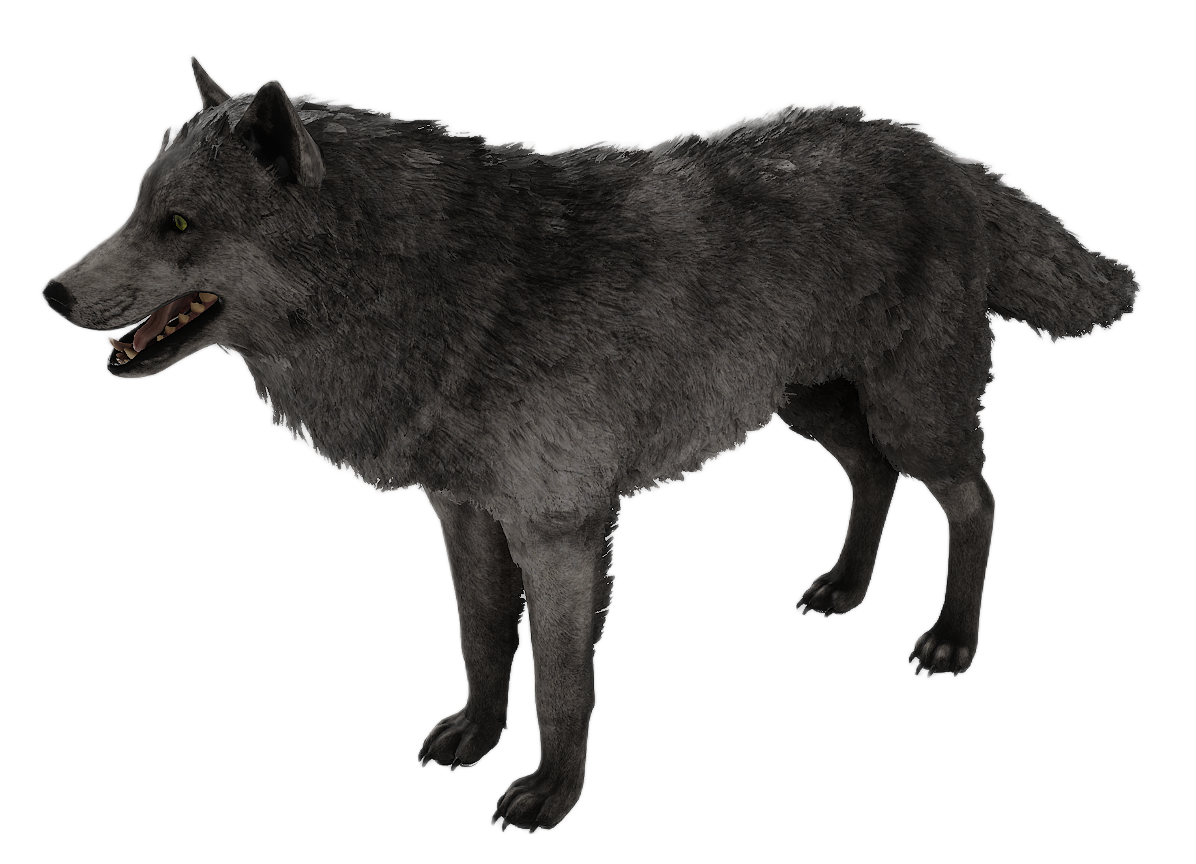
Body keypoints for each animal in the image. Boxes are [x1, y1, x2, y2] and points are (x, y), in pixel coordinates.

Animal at [39, 55, 1142, 832]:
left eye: (179, 224)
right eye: (135, 209)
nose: (51, 292)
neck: (447, 287)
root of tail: (946, 154)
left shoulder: (564, 531)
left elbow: (566, 682)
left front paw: (550, 794)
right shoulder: (464, 515)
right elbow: (484, 642)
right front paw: (476, 737)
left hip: (909, 407)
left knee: (975, 500)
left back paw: (951, 641)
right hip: (809, 404)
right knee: (871, 475)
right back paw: (840, 588)